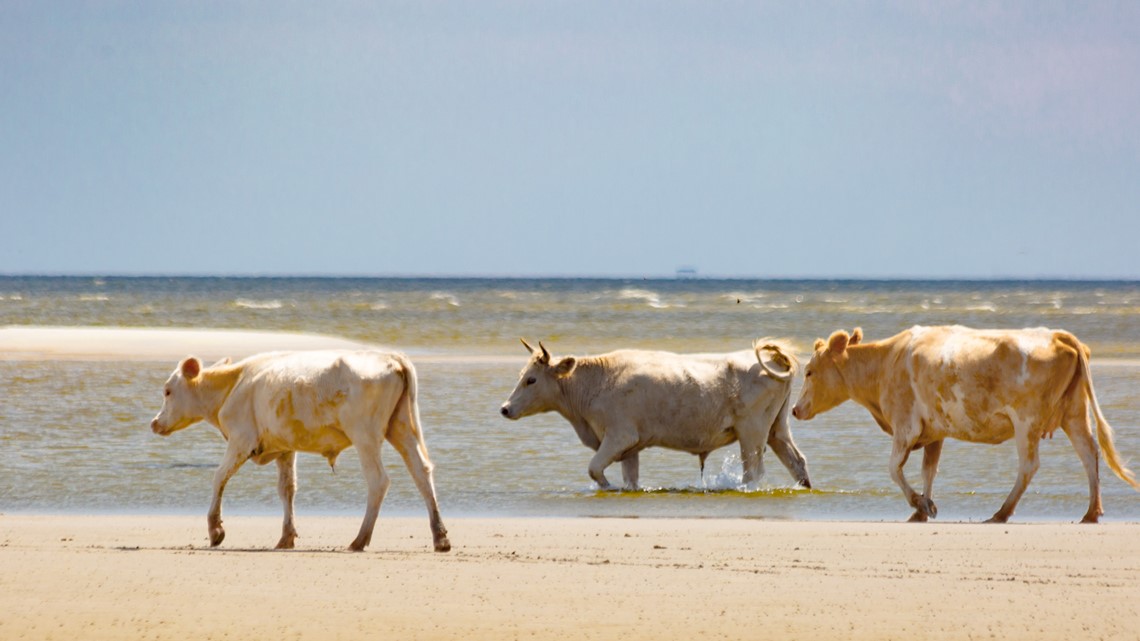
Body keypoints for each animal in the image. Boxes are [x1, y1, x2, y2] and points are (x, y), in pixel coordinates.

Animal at [150, 349, 449, 549]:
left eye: (167, 391)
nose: (154, 422)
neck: (233, 385)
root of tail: (391, 356)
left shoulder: (241, 439)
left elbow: (219, 476)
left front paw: (215, 530)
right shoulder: (285, 447)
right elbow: (287, 489)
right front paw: (286, 536)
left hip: (365, 435)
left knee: (378, 481)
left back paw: (359, 539)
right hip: (401, 428)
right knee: (421, 472)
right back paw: (440, 536)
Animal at [499, 339, 811, 488]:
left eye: (531, 380)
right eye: (522, 375)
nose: (505, 408)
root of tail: (774, 359)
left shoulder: (619, 436)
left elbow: (594, 468)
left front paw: (607, 486)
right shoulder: (629, 447)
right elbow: (630, 479)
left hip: (752, 432)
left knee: (753, 472)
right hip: (777, 429)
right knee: (796, 461)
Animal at [793, 323, 1140, 520]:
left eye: (809, 371)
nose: (795, 410)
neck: (885, 363)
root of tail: (1056, 335)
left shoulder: (905, 425)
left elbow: (893, 469)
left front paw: (917, 504)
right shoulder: (933, 431)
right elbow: (928, 470)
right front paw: (926, 506)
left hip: (1026, 420)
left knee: (1029, 465)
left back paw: (1001, 513)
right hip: (1074, 413)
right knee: (1089, 453)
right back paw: (1091, 512)